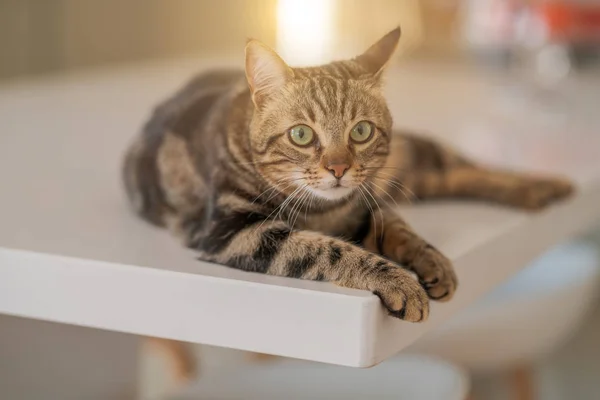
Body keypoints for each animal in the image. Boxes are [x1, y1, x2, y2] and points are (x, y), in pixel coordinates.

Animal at [122, 27, 572, 322]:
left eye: (361, 131)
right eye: (302, 135)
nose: (338, 168)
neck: (326, 211)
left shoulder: (368, 201)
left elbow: (402, 230)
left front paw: (432, 260)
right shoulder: (235, 230)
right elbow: (328, 250)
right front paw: (401, 282)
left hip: (411, 159)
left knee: (467, 167)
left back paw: (544, 184)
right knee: (454, 176)